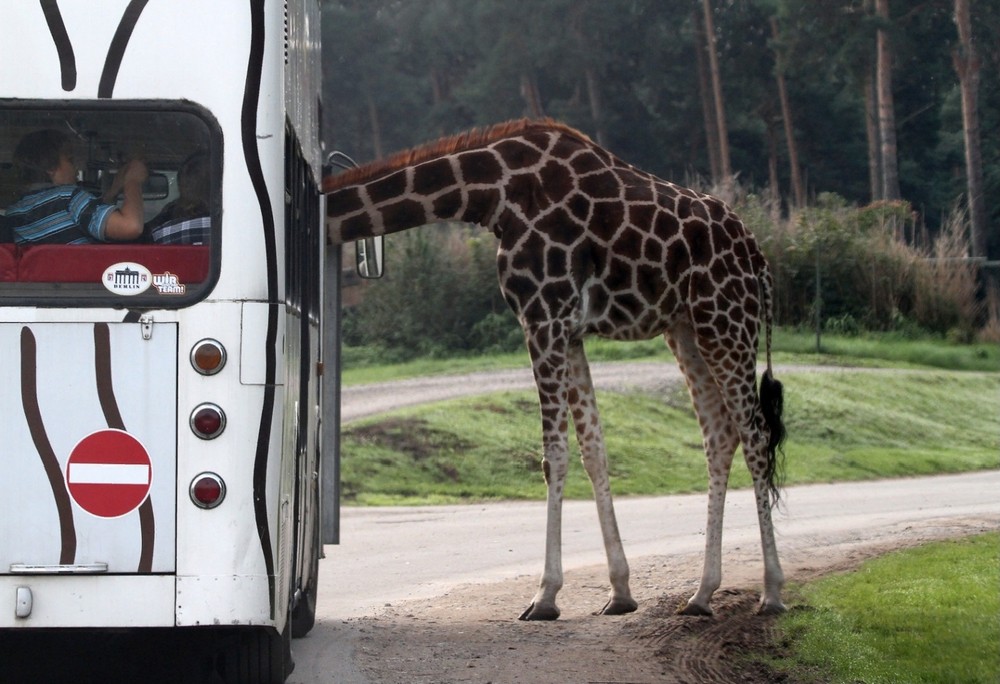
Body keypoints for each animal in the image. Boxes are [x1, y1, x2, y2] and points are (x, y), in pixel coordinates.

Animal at [326, 117, 788, 620]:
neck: (491, 193)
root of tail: (758, 256)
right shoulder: (570, 330)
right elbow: (593, 449)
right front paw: (620, 592)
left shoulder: (542, 316)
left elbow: (554, 455)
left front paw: (544, 596)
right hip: (686, 328)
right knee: (720, 434)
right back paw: (702, 594)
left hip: (725, 321)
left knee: (755, 434)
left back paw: (771, 592)